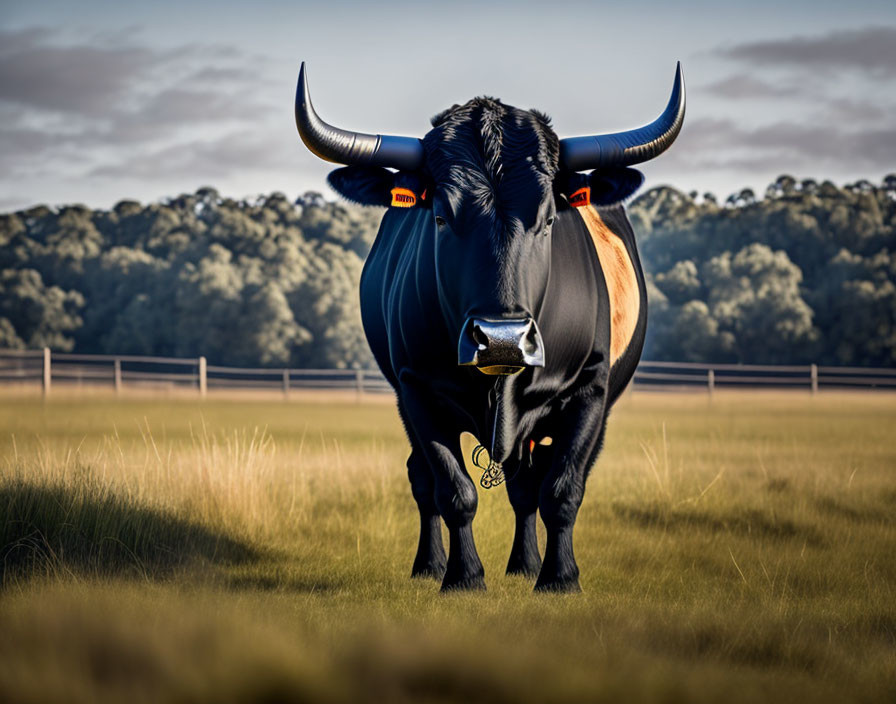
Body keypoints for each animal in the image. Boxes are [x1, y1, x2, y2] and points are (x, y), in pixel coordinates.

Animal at [294, 60, 688, 592]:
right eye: (441, 216)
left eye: (549, 219)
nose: (501, 340)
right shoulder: (416, 390)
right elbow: (452, 489)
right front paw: (463, 576)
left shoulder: (591, 390)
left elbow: (562, 489)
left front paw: (559, 578)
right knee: (425, 479)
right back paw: (431, 565)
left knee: (528, 485)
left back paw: (525, 565)